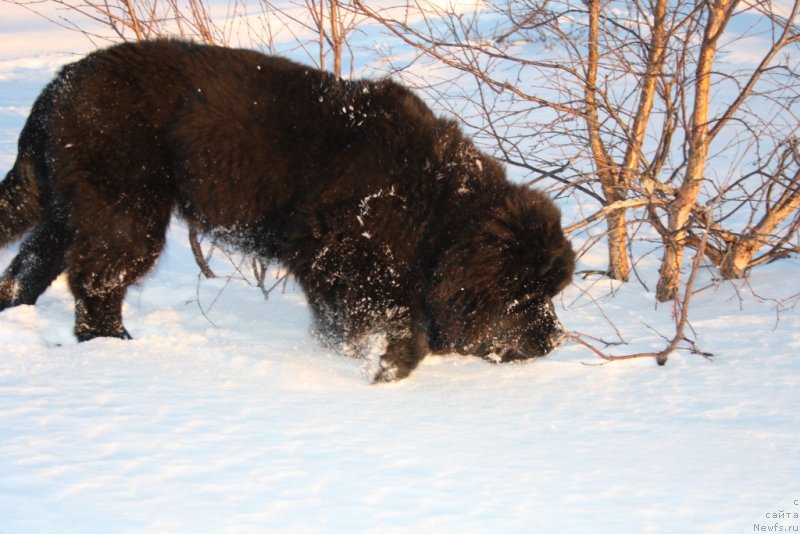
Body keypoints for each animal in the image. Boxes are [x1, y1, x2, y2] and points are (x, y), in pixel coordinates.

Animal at [0, 42, 576, 384]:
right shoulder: (344, 253)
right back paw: (113, 347)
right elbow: (389, 315)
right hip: (125, 211)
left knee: (31, 264)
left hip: (70, 209)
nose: (555, 340)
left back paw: (16, 313)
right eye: (527, 291)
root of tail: (54, 89)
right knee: (96, 280)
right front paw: (390, 363)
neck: (435, 203)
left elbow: (344, 318)